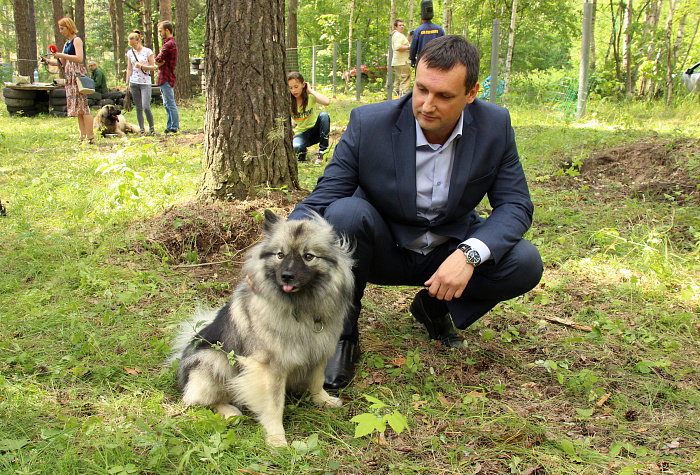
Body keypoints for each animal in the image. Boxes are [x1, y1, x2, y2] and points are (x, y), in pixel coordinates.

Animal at [170, 210, 356, 448]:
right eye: (280, 255)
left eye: (308, 256)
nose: (287, 275)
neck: (300, 307)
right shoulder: (270, 368)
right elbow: (273, 405)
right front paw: (276, 438)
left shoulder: (318, 351)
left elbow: (316, 381)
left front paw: (322, 400)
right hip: (214, 359)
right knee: (202, 399)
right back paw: (229, 411)